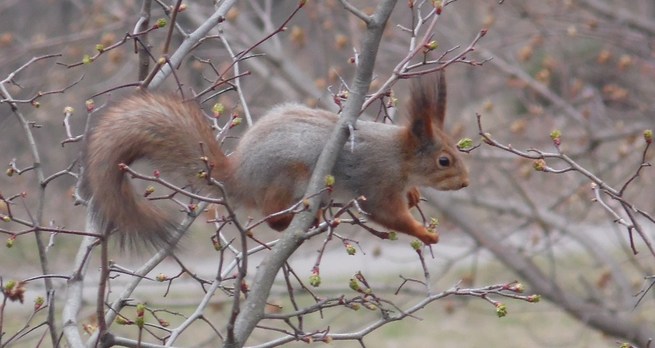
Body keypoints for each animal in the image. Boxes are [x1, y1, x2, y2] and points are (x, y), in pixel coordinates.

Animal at [82, 72, 468, 249]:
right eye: (444, 161)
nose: (465, 183)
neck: (400, 156)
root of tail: (238, 174)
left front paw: (414, 195)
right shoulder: (377, 182)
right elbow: (387, 215)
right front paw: (425, 234)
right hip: (287, 176)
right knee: (270, 216)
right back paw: (293, 221)